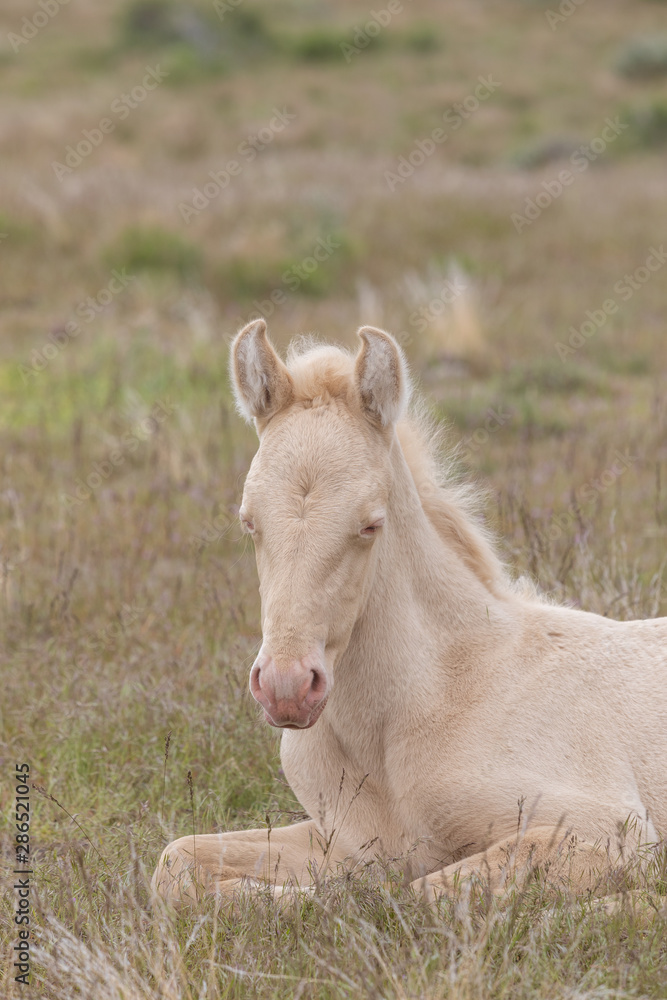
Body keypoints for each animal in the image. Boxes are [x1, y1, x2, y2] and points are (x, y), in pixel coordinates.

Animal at [152, 319, 667, 905]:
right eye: (248, 521)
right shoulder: (346, 840)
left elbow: (410, 895)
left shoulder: (612, 829)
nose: (286, 688)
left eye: (370, 523)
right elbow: (175, 861)